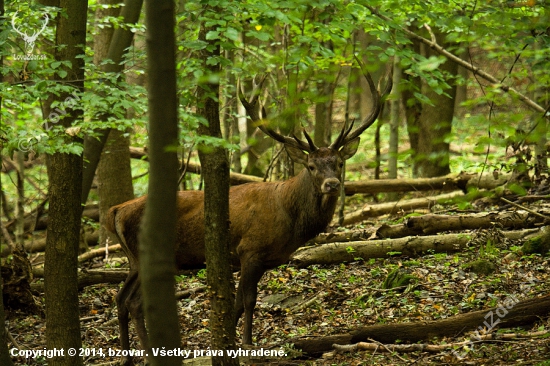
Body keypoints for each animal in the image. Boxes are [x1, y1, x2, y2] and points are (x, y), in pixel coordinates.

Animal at [106, 64, 392, 364]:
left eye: (339, 163)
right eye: (311, 166)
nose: (332, 184)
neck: (290, 218)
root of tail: (116, 210)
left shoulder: (261, 260)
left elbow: (237, 304)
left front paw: (231, 342)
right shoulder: (250, 250)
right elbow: (248, 300)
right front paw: (246, 343)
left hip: (132, 259)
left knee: (120, 298)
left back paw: (127, 355)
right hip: (144, 255)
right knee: (133, 302)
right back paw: (147, 353)